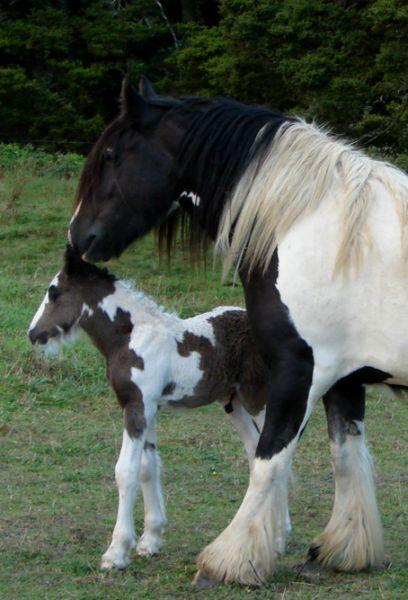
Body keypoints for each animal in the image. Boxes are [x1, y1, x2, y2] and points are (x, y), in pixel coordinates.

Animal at [27, 248, 286, 572]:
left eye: (54, 292)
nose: (33, 334)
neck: (131, 338)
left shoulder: (137, 407)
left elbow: (125, 471)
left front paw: (116, 552)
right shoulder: (146, 408)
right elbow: (148, 467)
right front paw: (150, 541)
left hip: (258, 399)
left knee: (280, 456)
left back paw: (279, 539)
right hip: (235, 404)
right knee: (256, 455)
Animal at [68, 77, 406, 584]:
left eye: (110, 154)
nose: (78, 237)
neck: (312, 229)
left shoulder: (298, 371)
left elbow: (269, 460)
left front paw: (228, 559)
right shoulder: (344, 379)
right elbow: (346, 457)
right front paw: (346, 549)